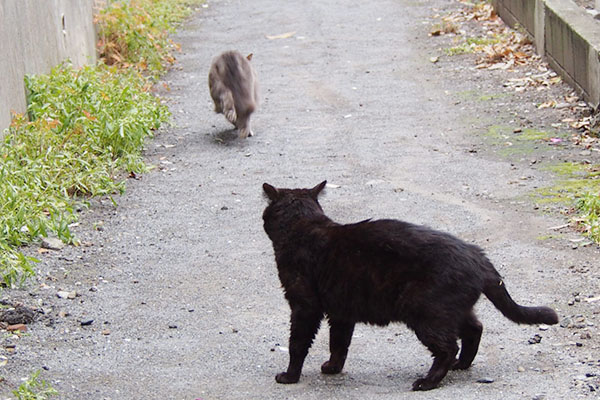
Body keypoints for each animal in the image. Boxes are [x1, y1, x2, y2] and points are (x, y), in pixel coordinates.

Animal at [262, 181, 556, 390]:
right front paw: (333, 368)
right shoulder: (342, 311)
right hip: (451, 311)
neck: (302, 226)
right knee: (474, 329)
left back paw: (428, 382)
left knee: (448, 347)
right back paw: (461, 365)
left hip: (424, 312)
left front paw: (290, 376)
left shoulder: (304, 306)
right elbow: (339, 343)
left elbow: (298, 343)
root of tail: (477, 255)